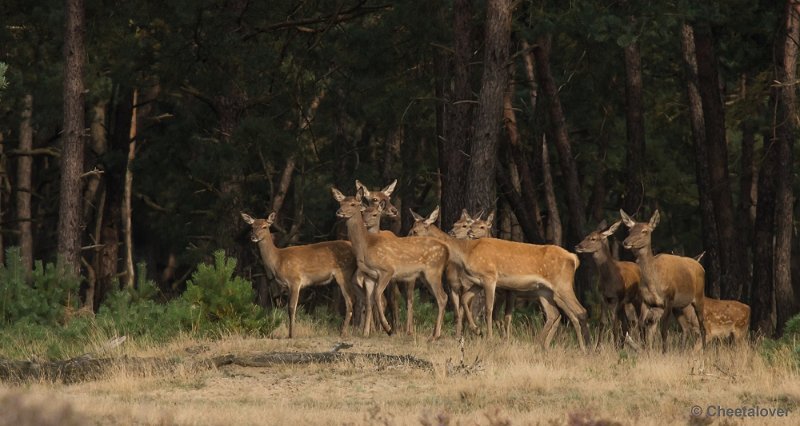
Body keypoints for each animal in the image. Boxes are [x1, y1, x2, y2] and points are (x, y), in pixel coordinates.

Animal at [330, 188, 450, 338]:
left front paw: (388, 328)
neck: (366, 246)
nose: (339, 212)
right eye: (341, 203)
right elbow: (369, 301)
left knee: (441, 297)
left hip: (433, 271)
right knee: (442, 297)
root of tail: (446, 250)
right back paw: (434, 334)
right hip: (425, 275)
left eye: (352, 204)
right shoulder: (369, 276)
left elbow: (377, 296)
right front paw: (365, 333)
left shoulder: (387, 270)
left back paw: (434, 335)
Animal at [412, 206, 588, 350]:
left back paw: (584, 348)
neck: (466, 253)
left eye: (414, 230)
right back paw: (538, 344)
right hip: (544, 291)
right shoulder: (478, 281)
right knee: (554, 314)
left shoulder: (490, 277)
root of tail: (574, 259)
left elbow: (489, 309)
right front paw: (477, 331)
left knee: (580, 311)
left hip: (562, 285)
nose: (408, 236)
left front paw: (489, 338)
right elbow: (465, 299)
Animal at [620, 210, 708, 352]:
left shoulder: (669, 298)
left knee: (702, 326)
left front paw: (664, 352)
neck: (653, 282)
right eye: (630, 230)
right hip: (679, 306)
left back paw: (704, 350)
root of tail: (700, 266)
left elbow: (663, 329)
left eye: (645, 231)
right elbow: (642, 326)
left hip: (699, 296)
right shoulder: (647, 301)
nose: (626, 242)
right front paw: (646, 351)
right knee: (685, 328)